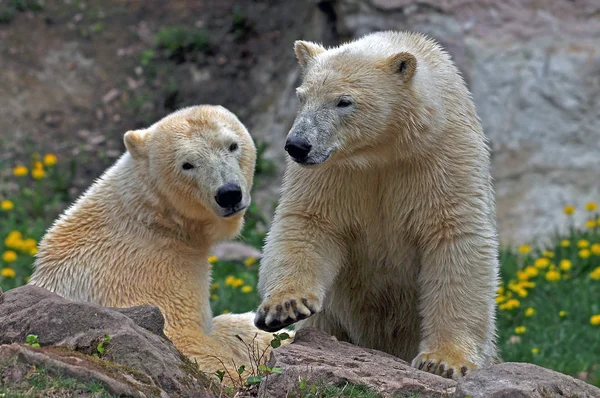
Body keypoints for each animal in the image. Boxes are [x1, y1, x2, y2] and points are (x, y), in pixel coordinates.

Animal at [27, 105, 278, 382]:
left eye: (232, 145)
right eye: (187, 164)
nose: (229, 194)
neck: (154, 216)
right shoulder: (147, 270)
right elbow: (186, 341)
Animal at [255, 31, 500, 380]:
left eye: (343, 101)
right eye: (302, 97)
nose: (298, 145)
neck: (382, 150)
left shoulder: (442, 154)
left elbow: (454, 238)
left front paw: (442, 361)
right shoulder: (333, 171)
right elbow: (308, 221)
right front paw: (285, 307)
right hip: (331, 319)